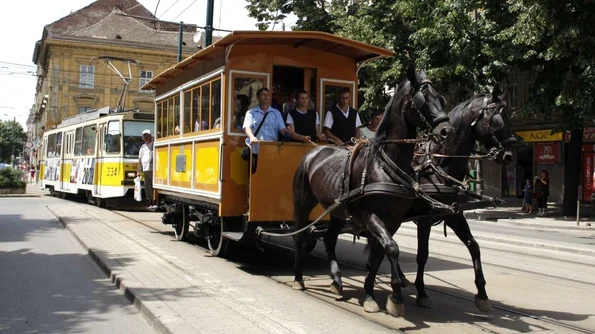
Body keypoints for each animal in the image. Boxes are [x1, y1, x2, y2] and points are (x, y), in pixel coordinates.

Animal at [292, 66, 454, 318]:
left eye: (441, 98)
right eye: (422, 99)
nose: (446, 130)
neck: (384, 164)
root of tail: (314, 151)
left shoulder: (393, 220)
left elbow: (380, 254)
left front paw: (371, 295)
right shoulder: (371, 217)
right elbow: (392, 249)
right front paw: (395, 296)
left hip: (337, 211)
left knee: (329, 239)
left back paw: (337, 281)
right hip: (303, 203)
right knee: (300, 236)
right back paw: (298, 278)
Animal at [360, 85, 520, 314]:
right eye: (498, 120)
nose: (509, 155)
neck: (438, 165)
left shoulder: (453, 213)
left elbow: (473, 245)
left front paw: (482, 294)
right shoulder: (425, 218)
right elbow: (422, 254)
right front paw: (422, 292)